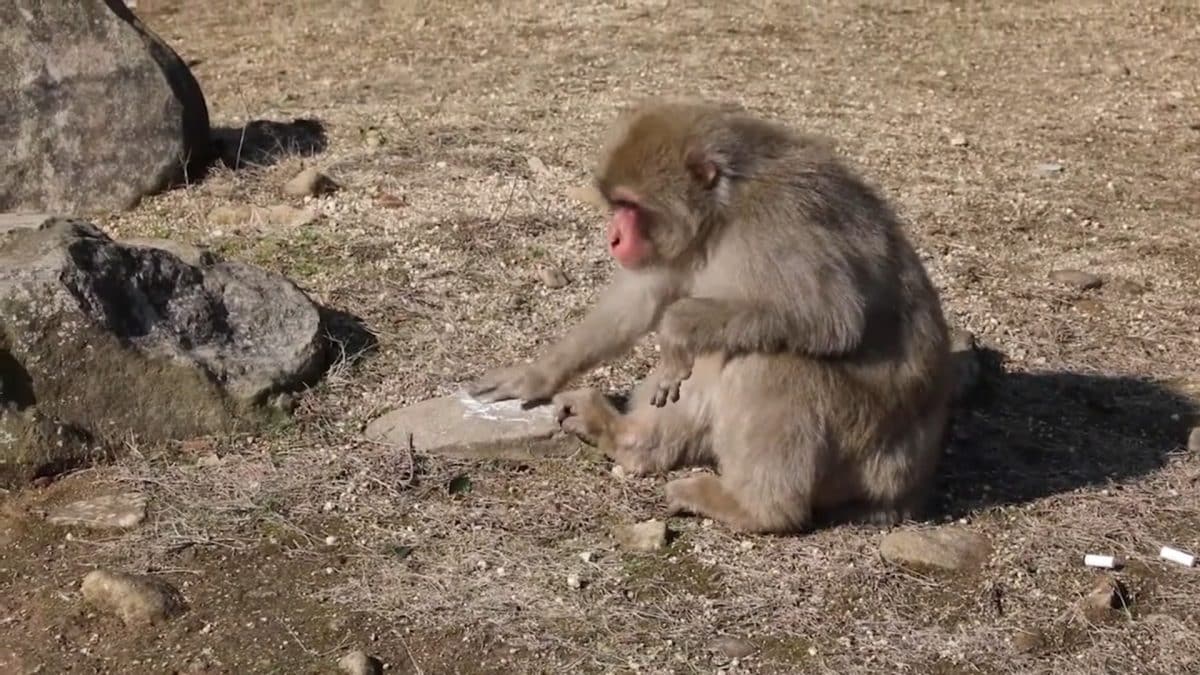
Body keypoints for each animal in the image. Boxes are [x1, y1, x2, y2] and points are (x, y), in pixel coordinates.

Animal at [470, 98, 955, 530]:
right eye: (617, 207)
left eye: (630, 206)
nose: (613, 238)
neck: (724, 214)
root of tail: (906, 492)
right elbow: (638, 301)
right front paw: (537, 373)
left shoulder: (781, 222)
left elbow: (832, 314)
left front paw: (675, 331)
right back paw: (628, 439)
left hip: (865, 452)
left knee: (770, 362)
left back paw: (758, 510)